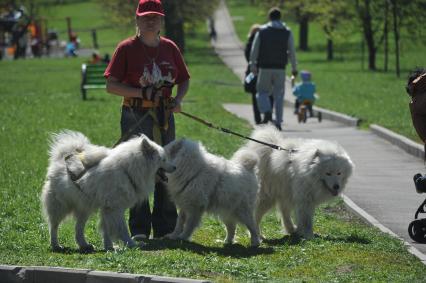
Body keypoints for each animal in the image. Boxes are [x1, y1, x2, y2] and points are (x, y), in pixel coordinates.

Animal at [40, 130, 176, 252]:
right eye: (163, 159)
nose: (175, 167)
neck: (127, 170)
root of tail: (62, 159)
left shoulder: (108, 209)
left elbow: (106, 229)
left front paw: (109, 247)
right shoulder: (114, 208)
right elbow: (122, 229)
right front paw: (131, 244)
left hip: (84, 208)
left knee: (78, 228)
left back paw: (84, 245)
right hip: (61, 206)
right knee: (53, 226)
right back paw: (56, 245)